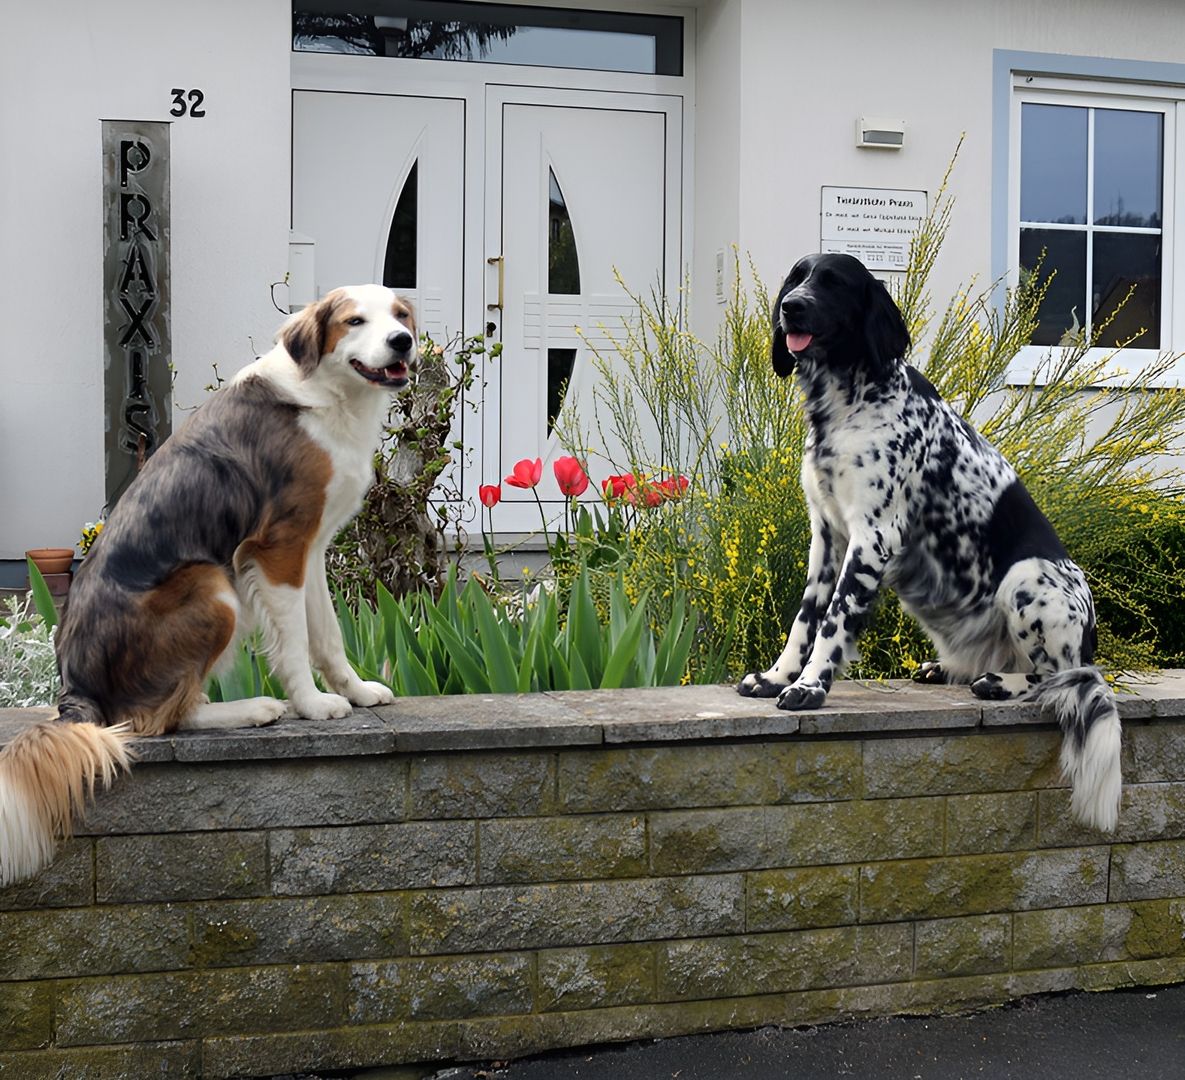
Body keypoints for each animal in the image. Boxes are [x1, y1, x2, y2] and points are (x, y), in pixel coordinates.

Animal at [0, 283, 417, 882]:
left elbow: (328, 635)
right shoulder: (277, 548)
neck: (327, 392)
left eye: (400, 315)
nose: (403, 341)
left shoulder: (310, 551)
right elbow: (295, 643)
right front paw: (312, 706)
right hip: (213, 585)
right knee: (156, 719)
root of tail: (73, 686)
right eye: (354, 321)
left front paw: (355, 692)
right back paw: (255, 710)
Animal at [739, 256, 1118, 834]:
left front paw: (810, 687)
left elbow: (832, 624)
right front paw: (777, 676)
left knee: (1057, 678)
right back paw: (950, 670)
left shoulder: (872, 537)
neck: (849, 403)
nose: (790, 308)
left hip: (1026, 580)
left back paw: (998, 683)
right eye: (796, 278)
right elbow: (804, 620)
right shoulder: (826, 537)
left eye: (834, 283)